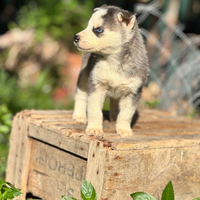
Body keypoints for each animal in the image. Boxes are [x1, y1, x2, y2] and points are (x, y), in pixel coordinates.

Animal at [73, 4, 148, 137]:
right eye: (88, 26)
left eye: (98, 30)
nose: (75, 37)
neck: (113, 60)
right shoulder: (96, 85)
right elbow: (95, 111)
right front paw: (94, 128)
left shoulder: (133, 92)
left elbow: (126, 114)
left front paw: (123, 129)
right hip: (84, 75)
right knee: (80, 95)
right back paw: (79, 116)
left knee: (114, 101)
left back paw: (113, 117)